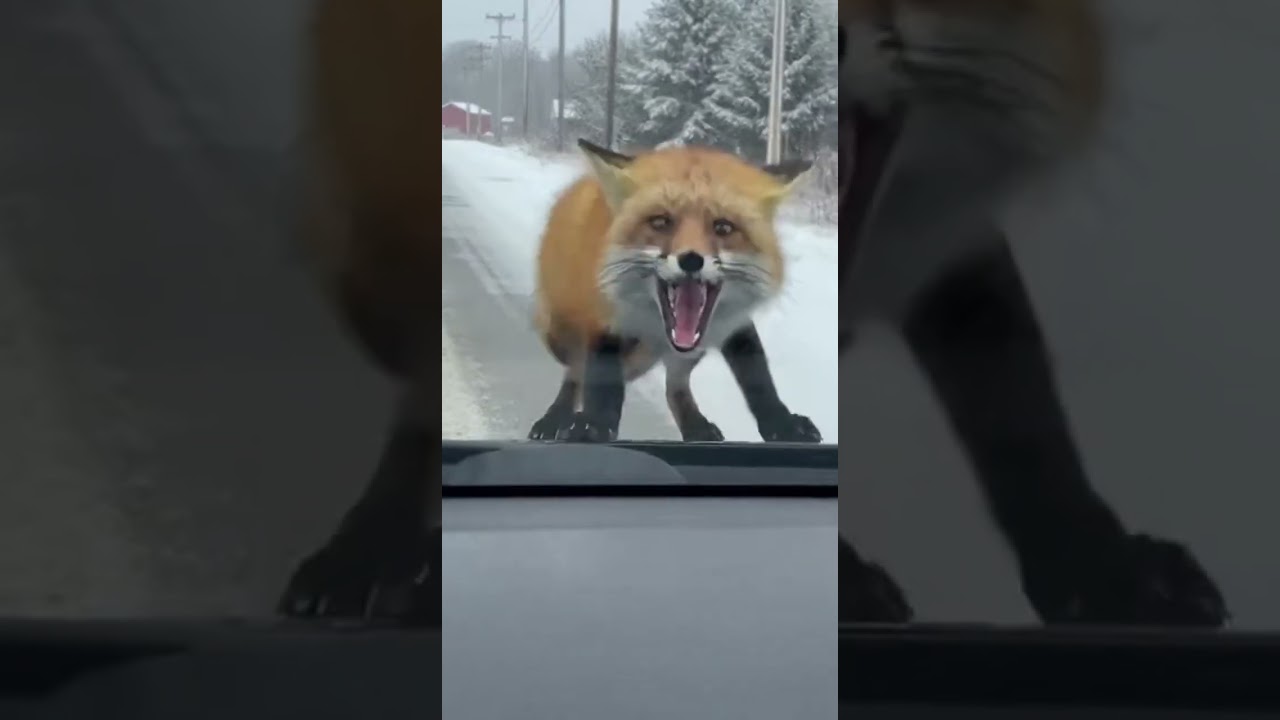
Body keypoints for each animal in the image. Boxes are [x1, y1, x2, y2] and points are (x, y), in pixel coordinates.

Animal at [527, 140, 823, 445]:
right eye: (660, 222)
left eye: (723, 227)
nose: (691, 260)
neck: (654, 324)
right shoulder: (606, 318)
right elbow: (604, 383)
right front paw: (594, 423)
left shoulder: (733, 322)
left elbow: (758, 379)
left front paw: (781, 423)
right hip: (560, 336)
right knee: (576, 372)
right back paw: (556, 417)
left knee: (674, 385)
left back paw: (694, 425)